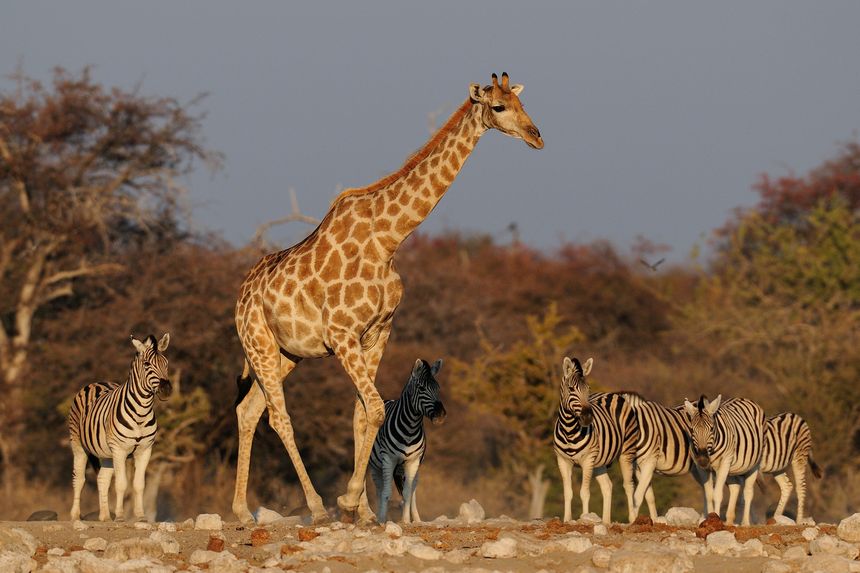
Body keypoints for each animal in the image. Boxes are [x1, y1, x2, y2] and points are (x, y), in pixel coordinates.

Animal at [70, 332, 173, 520]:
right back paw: (75, 516)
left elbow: (139, 484)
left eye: (166, 363)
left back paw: (104, 517)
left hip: (105, 452)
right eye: (147, 364)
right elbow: (121, 484)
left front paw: (140, 516)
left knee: (102, 479)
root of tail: (97, 382)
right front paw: (119, 516)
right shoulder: (120, 450)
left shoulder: (145, 450)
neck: (141, 412)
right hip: (78, 445)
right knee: (79, 478)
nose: (166, 390)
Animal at [368, 358, 446, 524]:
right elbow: (386, 492)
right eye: (421, 388)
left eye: (438, 388)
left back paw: (416, 519)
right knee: (379, 490)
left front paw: (406, 521)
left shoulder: (413, 461)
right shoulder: (388, 459)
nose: (441, 414)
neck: (410, 428)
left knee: (413, 489)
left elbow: (407, 493)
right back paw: (380, 516)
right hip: (375, 466)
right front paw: (383, 520)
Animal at [556, 356, 640, 524]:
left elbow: (584, 492)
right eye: (571, 389)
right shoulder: (562, 461)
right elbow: (568, 492)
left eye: (588, 389)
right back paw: (606, 521)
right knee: (607, 486)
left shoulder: (588, 460)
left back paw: (633, 520)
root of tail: (614, 394)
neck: (569, 430)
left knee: (629, 485)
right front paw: (567, 520)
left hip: (626, 452)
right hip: (600, 461)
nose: (588, 417)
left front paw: (585, 518)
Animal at [680, 396, 764, 524]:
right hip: (732, 469)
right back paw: (729, 520)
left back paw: (745, 522)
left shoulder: (724, 462)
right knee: (735, 487)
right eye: (692, 430)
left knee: (748, 492)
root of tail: (742, 398)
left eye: (711, 429)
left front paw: (716, 518)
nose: (703, 460)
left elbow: (717, 494)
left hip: (753, 464)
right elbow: (709, 495)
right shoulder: (701, 469)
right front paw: (708, 518)